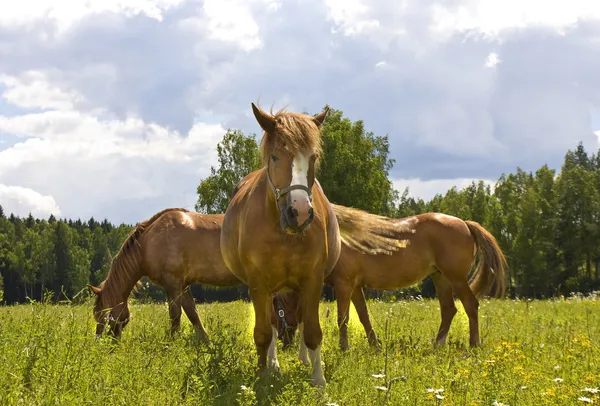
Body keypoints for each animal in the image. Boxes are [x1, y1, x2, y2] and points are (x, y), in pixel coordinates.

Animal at [86, 209, 241, 340]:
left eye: (105, 317)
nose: (103, 343)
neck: (149, 243)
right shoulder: (183, 286)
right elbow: (193, 315)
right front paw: (207, 344)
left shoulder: (173, 284)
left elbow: (175, 316)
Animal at [220, 102, 342, 386]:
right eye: (275, 157)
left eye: (313, 158)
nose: (300, 212)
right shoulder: (259, 284)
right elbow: (264, 332)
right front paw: (263, 376)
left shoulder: (313, 280)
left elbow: (312, 331)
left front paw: (319, 382)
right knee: (273, 324)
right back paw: (274, 363)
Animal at [274, 213, 504, 352]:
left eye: (277, 309)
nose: (283, 345)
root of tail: (464, 223)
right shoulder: (355, 287)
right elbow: (364, 317)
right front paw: (375, 345)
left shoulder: (344, 285)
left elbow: (343, 318)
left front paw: (343, 348)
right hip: (441, 278)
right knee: (449, 310)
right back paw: (437, 345)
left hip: (456, 278)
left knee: (470, 305)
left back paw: (474, 344)